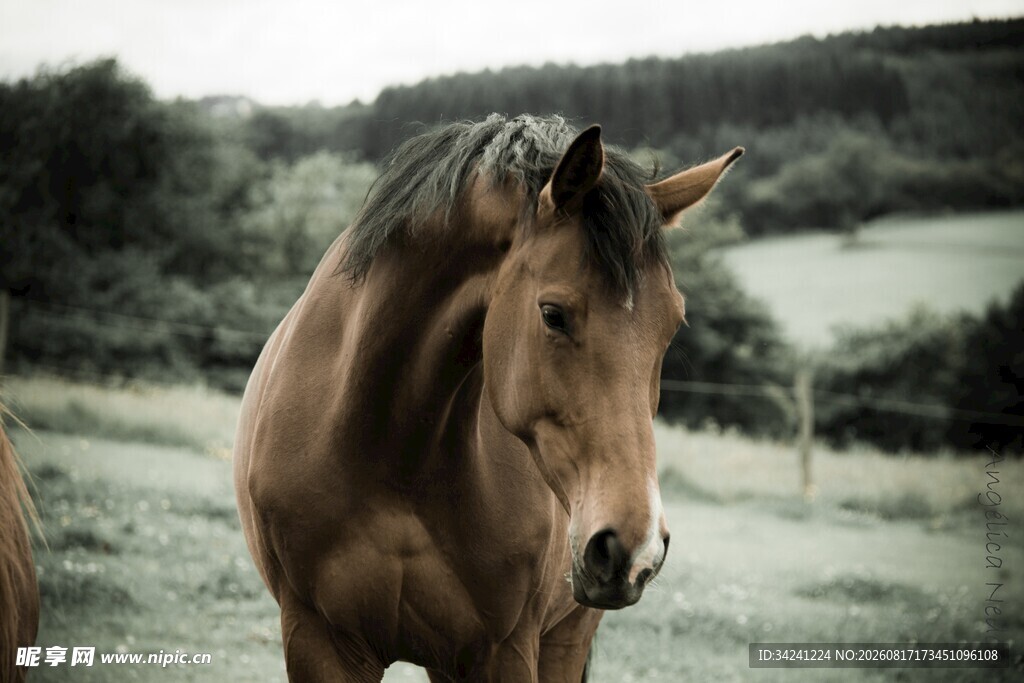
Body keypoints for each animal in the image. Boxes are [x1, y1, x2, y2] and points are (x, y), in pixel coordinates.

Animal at [234, 114, 742, 682]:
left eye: (672, 324)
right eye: (553, 314)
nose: (635, 548)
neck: (393, 455)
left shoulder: (503, 651)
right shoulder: (316, 639)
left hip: (564, 636)